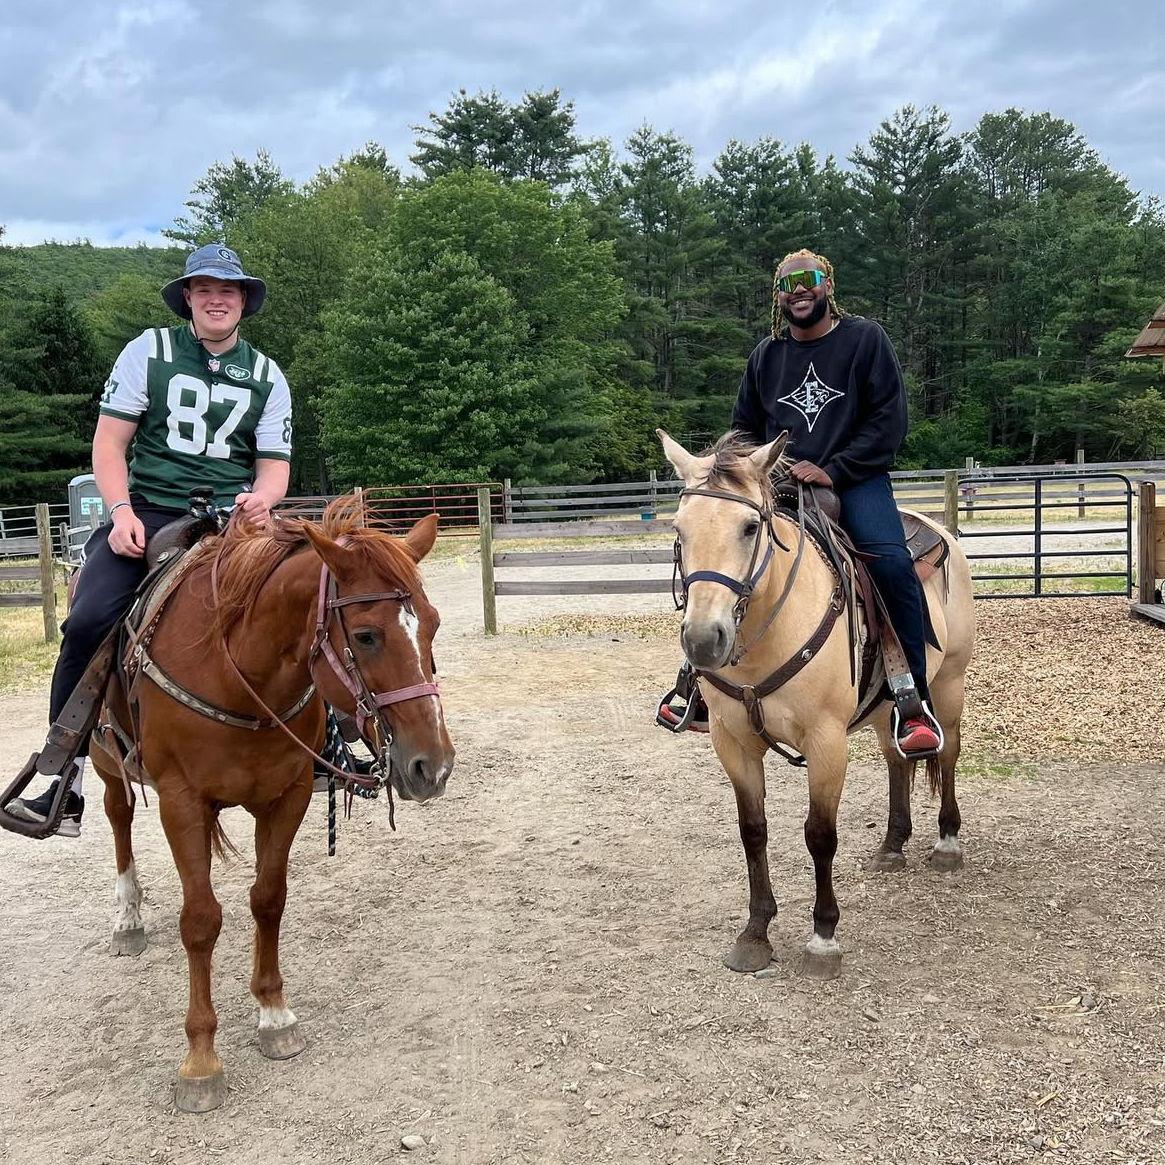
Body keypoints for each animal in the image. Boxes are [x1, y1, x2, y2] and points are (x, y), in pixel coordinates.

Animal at [86, 497, 455, 1111]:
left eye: (431, 624)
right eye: (366, 636)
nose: (434, 766)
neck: (238, 672)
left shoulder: (289, 795)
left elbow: (268, 900)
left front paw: (274, 1014)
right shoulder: (182, 801)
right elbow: (201, 920)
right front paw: (201, 1060)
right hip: (106, 760)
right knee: (119, 818)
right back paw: (127, 918)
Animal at [658, 430, 975, 979]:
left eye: (750, 527)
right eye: (680, 529)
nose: (702, 640)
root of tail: (940, 532)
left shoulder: (826, 742)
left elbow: (819, 835)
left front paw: (823, 938)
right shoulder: (732, 742)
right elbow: (753, 831)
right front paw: (755, 933)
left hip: (950, 684)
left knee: (948, 754)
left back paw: (946, 843)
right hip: (885, 708)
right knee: (897, 759)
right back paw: (892, 846)